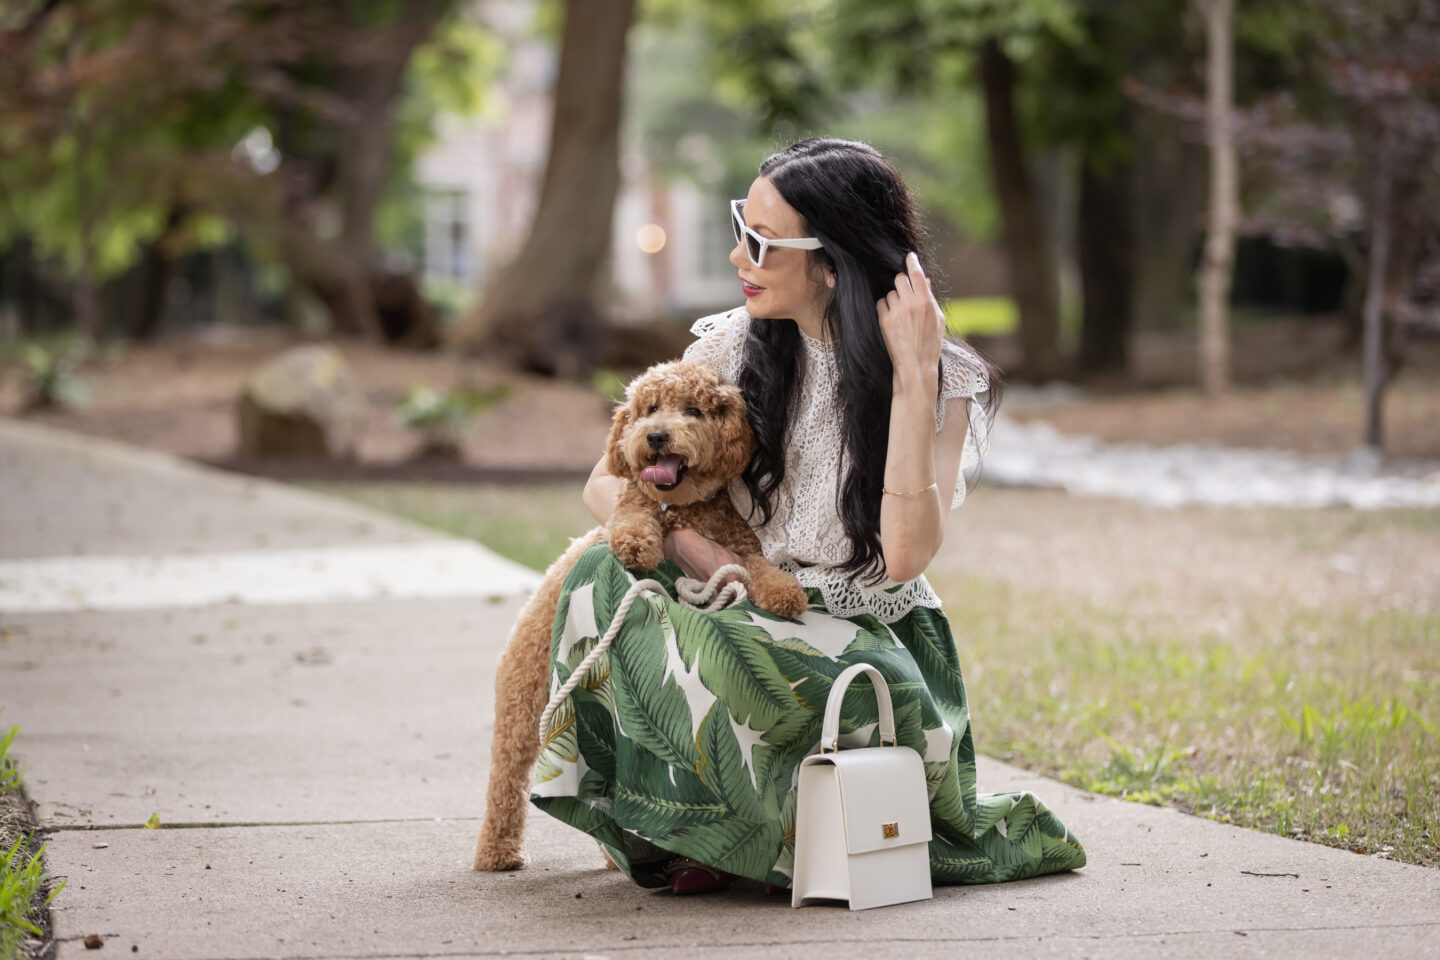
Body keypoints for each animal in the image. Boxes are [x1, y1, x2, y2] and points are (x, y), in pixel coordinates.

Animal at [472, 358, 812, 869]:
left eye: (693, 410)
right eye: (649, 409)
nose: (654, 435)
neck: (682, 508)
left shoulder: (735, 546)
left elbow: (756, 566)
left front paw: (784, 590)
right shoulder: (635, 505)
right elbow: (632, 518)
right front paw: (637, 542)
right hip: (524, 704)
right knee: (506, 778)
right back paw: (497, 853)